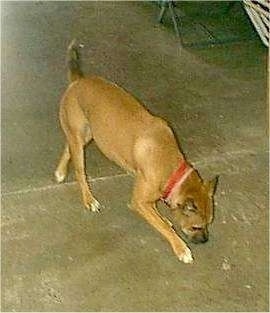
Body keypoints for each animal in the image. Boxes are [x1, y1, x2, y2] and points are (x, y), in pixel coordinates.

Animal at [54, 40, 217, 262]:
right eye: (196, 226)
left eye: (209, 222)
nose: (206, 240)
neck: (170, 166)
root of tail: (79, 80)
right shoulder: (139, 202)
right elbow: (164, 227)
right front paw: (180, 248)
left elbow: (159, 215)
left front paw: (164, 219)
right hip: (81, 139)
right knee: (80, 171)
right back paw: (89, 199)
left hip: (88, 135)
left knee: (68, 146)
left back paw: (60, 171)